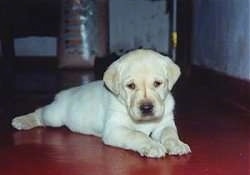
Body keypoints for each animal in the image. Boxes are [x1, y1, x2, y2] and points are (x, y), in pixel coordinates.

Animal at [11, 49, 190, 157]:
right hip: (54, 117)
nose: (146, 108)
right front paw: (152, 146)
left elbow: (169, 133)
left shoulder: (165, 123)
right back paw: (22, 121)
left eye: (157, 83)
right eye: (131, 86)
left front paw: (177, 144)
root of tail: (63, 94)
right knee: (40, 112)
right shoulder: (114, 130)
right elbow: (136, 134)